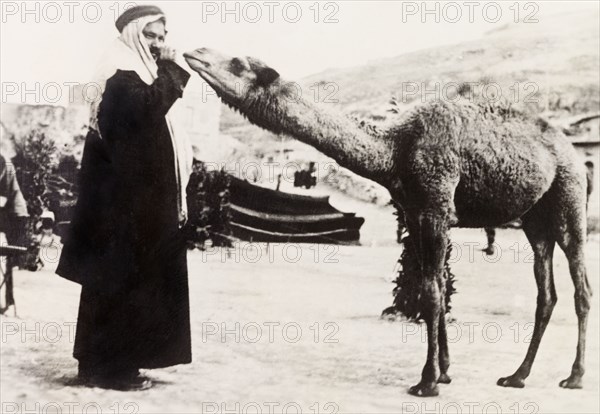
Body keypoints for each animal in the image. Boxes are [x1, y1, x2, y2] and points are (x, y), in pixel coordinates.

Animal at [183, 47, 592, 396]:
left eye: (238, 62)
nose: (195, 52)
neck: (394, 150)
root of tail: (574, 154)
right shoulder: (417, 212)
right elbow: (435, 288)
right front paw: (445, 371)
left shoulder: (436, 207)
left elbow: (432, 292)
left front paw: (427, 382)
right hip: (534, 220)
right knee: (546, 292)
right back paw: (517, 376)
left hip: (569, 196)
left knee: (581, 283)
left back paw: (573, 377)